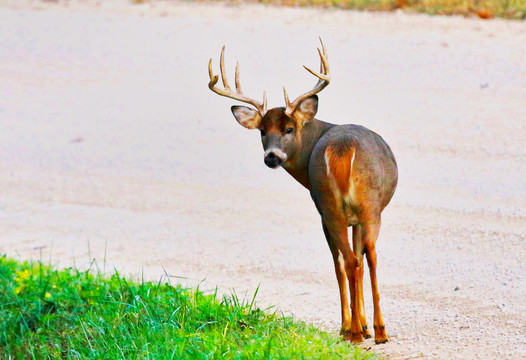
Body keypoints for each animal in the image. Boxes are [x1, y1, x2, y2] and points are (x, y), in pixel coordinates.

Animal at [208, 38, 398, 344]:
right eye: (262, 131)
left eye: (288, 128)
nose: (271, 157)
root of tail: (342, 149)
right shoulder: (342, 215)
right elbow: (353, 258)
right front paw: (360, 325)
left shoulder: (335, 213)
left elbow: (346, 260)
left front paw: (355, 325)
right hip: (358, 206)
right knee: (362, 257)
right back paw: (371, 331)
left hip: (339, 207)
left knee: (352, 260)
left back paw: (360, 331)